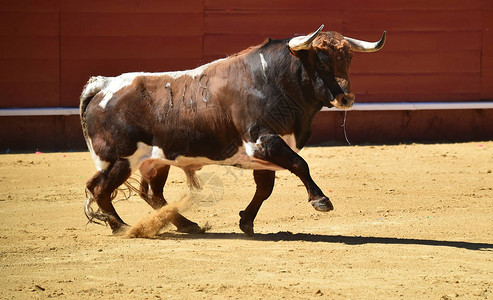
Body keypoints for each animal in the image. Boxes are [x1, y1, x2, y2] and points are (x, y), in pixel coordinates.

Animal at [79, 25, 384, 234]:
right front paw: (320, 200)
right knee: (100, 189)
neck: (274, 80)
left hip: (155, 161)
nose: (346, 98)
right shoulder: (263, 141)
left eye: (348, 58)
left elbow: (265, 188)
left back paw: (185, 224)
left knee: (150, 194)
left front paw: (246, 221)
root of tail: (103, 85)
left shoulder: (266, 153)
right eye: (321, 59)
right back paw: (120, 227)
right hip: (119, 160)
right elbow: (300, 164)